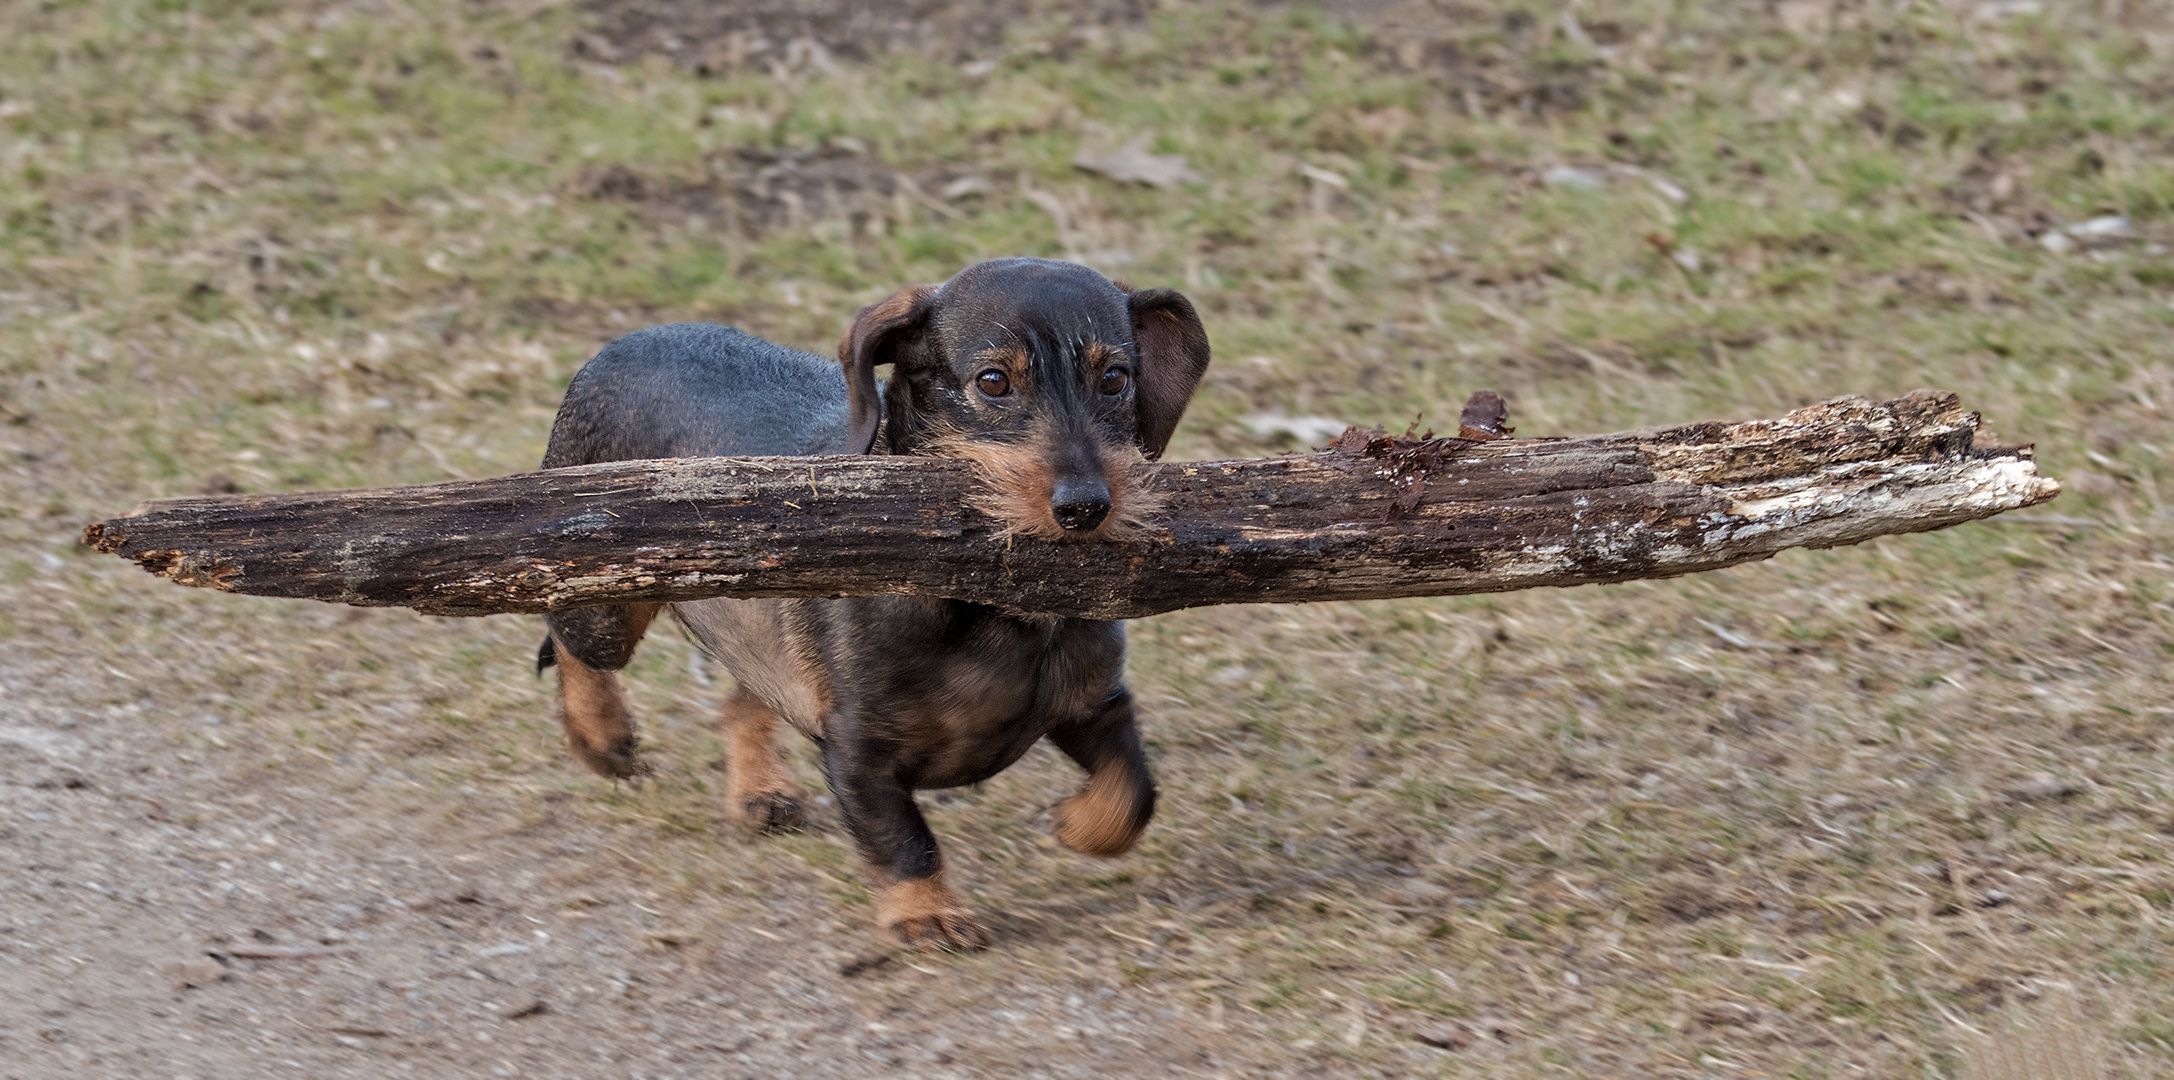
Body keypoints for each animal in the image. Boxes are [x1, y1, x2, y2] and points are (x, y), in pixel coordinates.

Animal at [526, 256, 1208, 947]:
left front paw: (1078, 826)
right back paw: (602, 739)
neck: (1000, 615)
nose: (1086, 508)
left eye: (1115, 378)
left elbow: (1132, 792)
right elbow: (904, 838)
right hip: (607, 603)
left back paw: (758, 792)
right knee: (570, 641)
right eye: (993, 381)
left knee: (745, 697)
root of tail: (625, 343)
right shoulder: (859, 751)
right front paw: (927, 914)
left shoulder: (1095, 705)